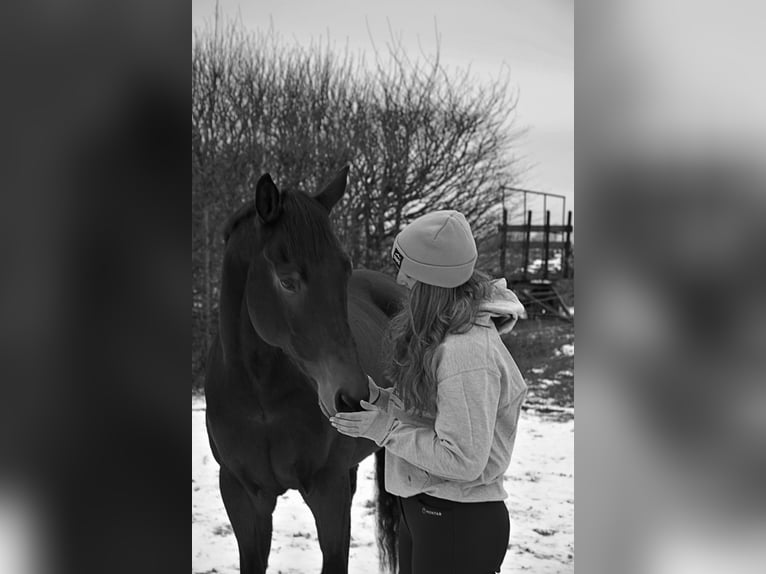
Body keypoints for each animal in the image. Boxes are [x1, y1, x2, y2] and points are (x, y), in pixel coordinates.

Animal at [204, 166, 408, 574]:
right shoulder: (242, 494)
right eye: (287, 281)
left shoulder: (328, 491)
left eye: (343, 271)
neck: (261, 398)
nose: (352, 397)